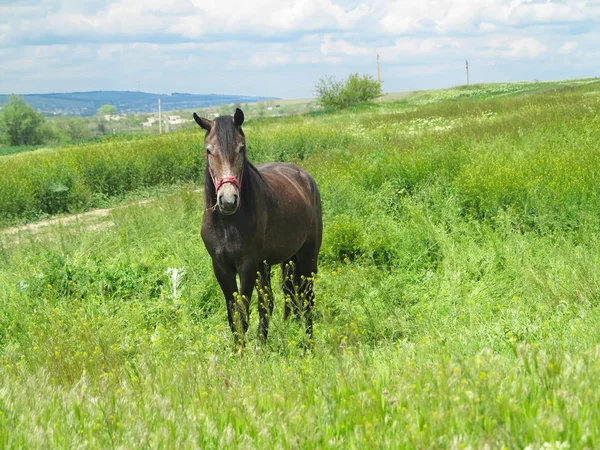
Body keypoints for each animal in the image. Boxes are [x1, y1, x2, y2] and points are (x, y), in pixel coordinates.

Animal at [193, 108, 324, 344]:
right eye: (208, 151)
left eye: (241, 148)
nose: (228, 200)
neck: (227, 223)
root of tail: (304, 176)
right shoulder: (221, 267)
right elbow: (234, 316)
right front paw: (239, 350)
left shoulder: (247, 266)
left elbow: (243, 315)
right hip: (277, 262)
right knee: (278, 300)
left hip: (308, 256)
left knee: (306, 298)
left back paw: (309, 342)